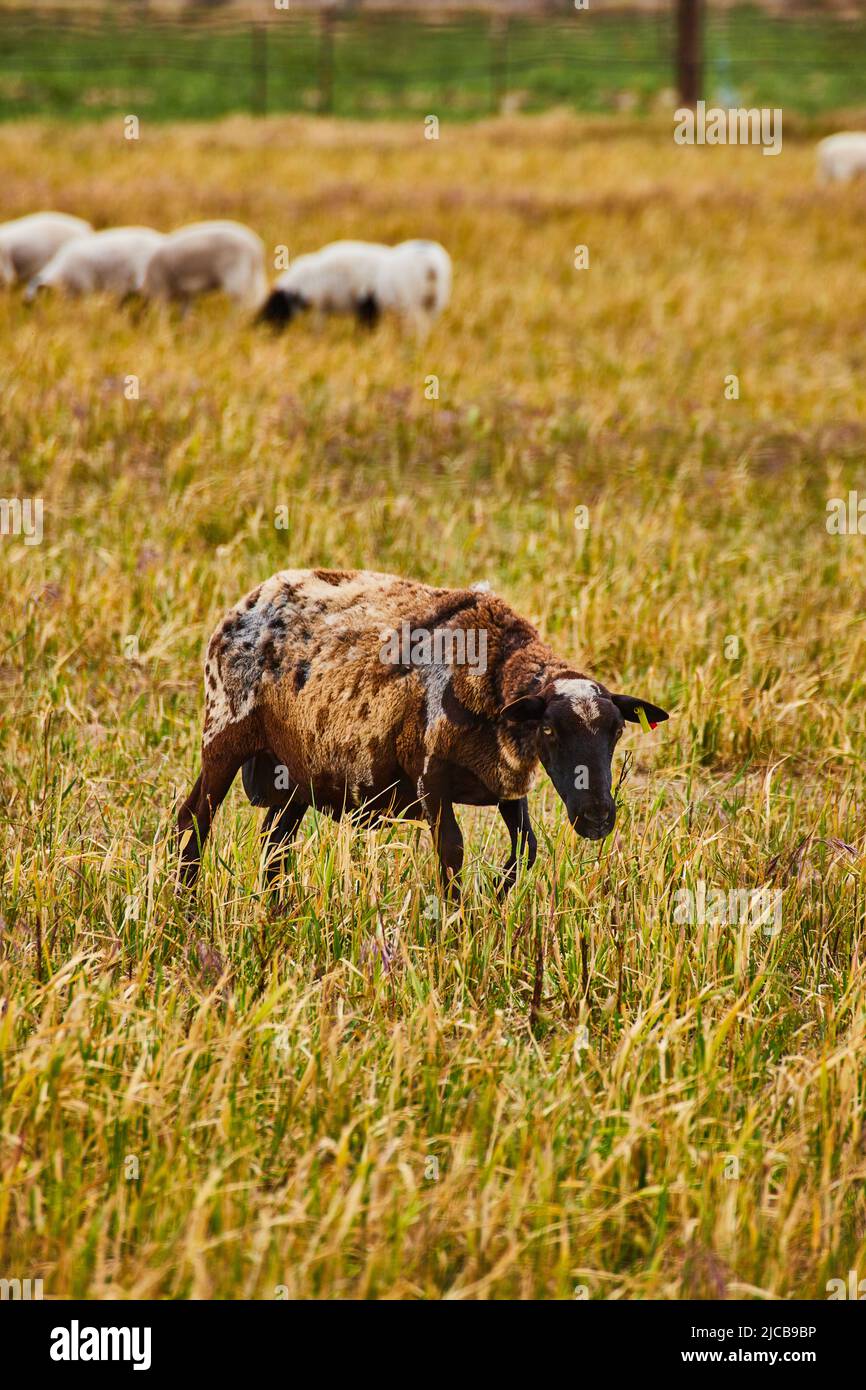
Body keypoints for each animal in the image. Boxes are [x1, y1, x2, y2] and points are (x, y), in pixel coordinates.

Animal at [177, 569, 669, 899]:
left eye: (616, 732)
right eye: (548, 729)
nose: (596, 818)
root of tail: (248, 600)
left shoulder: (507, 785)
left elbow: (525, 849)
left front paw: (494, 898)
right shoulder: (431, 783)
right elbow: (452, 855)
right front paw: (457, 927)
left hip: (295, 770)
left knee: (273, 846)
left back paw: (277, 912)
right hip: (223, 733)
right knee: (194, 820)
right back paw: (187, 904)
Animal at [258, 238, 452, 335]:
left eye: (274, 307)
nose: (258, 329)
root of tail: (431, 266)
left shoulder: (365, 305)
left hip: (412, 303)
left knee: (417, 328)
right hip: (433, 303)